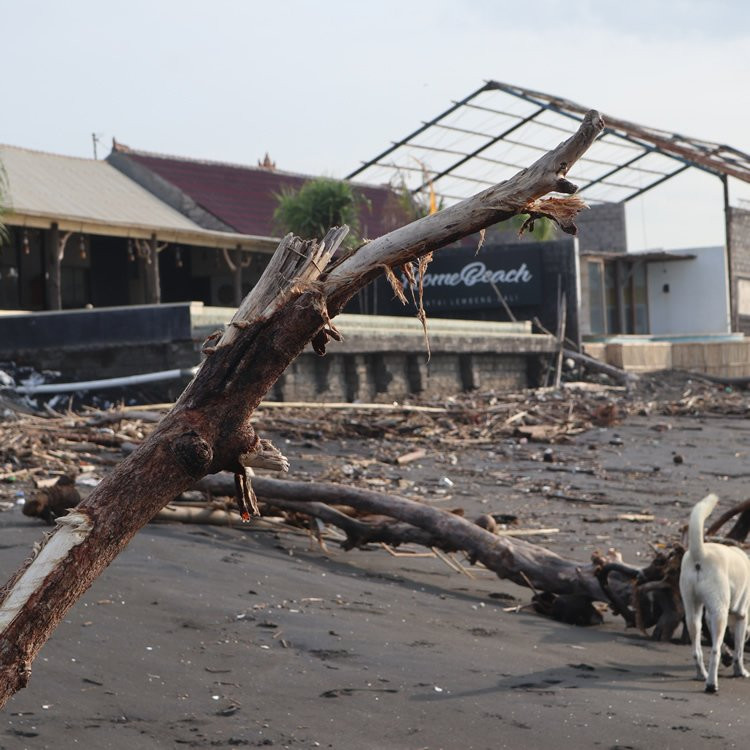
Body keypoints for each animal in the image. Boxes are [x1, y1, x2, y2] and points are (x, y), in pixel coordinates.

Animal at [680, 496, 750, 696]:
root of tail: (700, 554)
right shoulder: (742, 616)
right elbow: (739, 651)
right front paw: (740, 671)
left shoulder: (708, 615)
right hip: (720, 613)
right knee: (714, 651)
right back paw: (711, 684)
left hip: (693, 610)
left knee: (697, 649)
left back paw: (701, 675)